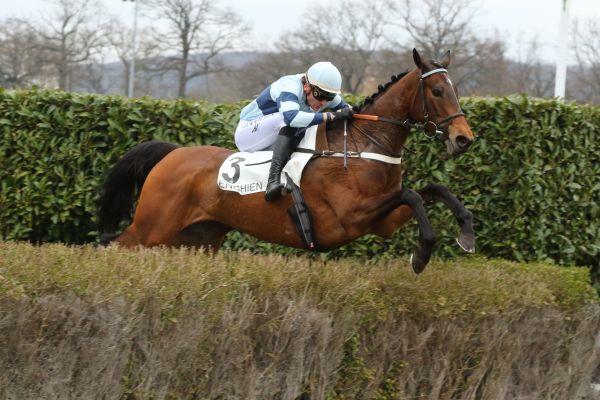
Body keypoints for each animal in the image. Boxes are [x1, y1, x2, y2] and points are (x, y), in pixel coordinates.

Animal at [97, 48, 474, 274]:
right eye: (437, 91)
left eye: (456, 90)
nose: (463, 138)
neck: (362, 146)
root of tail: (173, 153)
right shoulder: (350, 217)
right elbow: (411, 194)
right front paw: (422, 255)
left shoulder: (383, 222)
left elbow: (432, 189)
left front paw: (465, 233)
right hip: (151, 228)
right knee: (114, 246)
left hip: (197, 238)